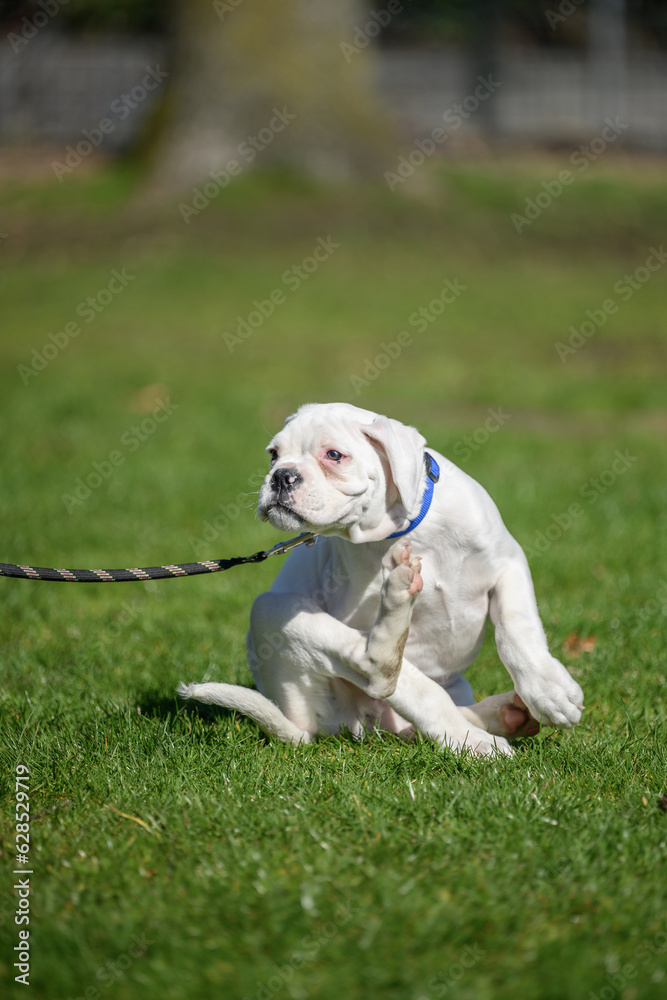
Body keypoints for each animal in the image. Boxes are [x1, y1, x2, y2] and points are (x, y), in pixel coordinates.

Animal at [181, 402, 584, 752]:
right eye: (273, 454)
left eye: (334, 455)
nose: (281, 476)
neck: (406, 529)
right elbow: (414, 684)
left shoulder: (507, 563)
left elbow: (517, 629)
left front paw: (549, 692)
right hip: (272, 611)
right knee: (383, 674)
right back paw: (473, 738)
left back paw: (506, 715)